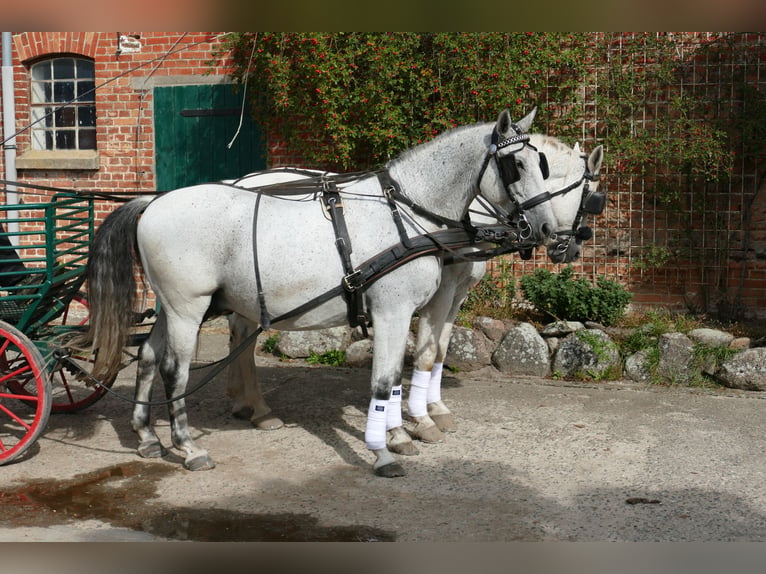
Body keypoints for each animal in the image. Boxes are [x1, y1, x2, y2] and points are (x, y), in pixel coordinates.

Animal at [81, 108, 557, 477]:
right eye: (517, 166)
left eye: (544, 165)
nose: (549, 230)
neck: (405, 211)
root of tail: (152, 203)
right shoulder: (393, 311)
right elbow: (384, 381)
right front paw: (383, 451)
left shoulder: (409, 311)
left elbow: (398, 375)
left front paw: (397, 435)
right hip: (187, 309)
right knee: (173, 370)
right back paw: (189, 447)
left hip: (171, 307)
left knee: (147, 356)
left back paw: (147, 436)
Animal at [224, 135, 605, 457]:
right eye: (590, 198)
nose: (568, 248)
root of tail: (241, 181)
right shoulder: (441, 292)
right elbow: (425, 353)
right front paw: (421, 420)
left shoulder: (457, 294)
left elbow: (440, 351)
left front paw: (435, 410)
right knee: (242, 336)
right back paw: (258, 408)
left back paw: (242, 403)